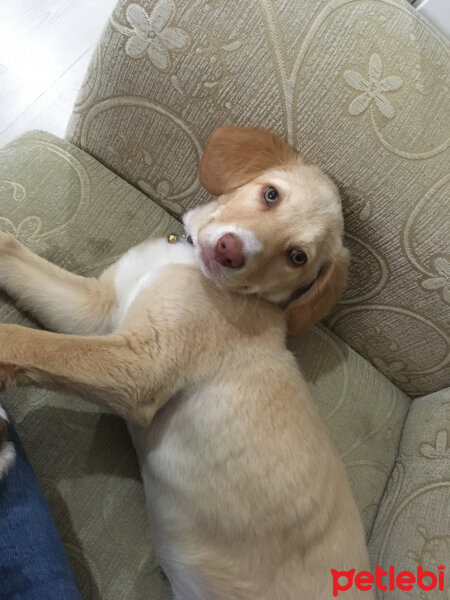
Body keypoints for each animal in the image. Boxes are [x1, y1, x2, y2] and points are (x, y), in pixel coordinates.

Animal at [0, 124, 372, 596]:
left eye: (297, 257)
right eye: (271, 194)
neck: (188, 262)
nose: (230, 250)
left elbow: (27, 342)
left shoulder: (142, 364)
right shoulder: (97, 312)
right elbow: (12, 253)